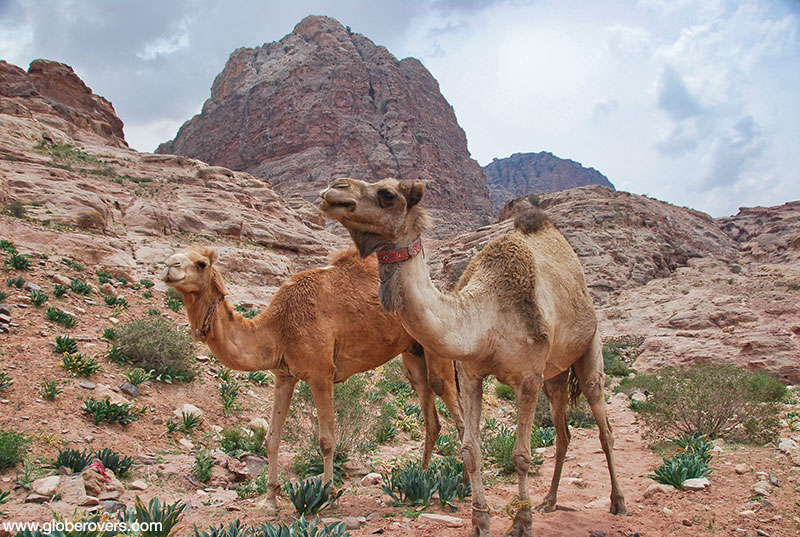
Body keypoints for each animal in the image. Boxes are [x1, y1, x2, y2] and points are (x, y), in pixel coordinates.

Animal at [161, 245, 463, 511]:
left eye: (201, 263)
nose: (169, 265)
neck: (277, 327)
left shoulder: (321, 373)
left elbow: (326, 440)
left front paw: (327, 497)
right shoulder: (283, 375)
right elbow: (272, 438)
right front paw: (269, 500)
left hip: (437, 347)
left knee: (453, 406)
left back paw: (462, 480)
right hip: (412, 352)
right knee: (431, 415)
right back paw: (421, 479)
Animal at [320, 178, 626, 537]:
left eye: (387, 195)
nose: (335, 189)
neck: (487, 316)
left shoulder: (528, 378)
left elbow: (521, 455)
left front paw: (522, 523)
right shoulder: (469, 373)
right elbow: (469, 451)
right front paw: (480, 522)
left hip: (589, 347)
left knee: (604, 426)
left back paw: (617, 502)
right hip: (554, 374)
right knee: (563, 433)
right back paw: (549, 501)